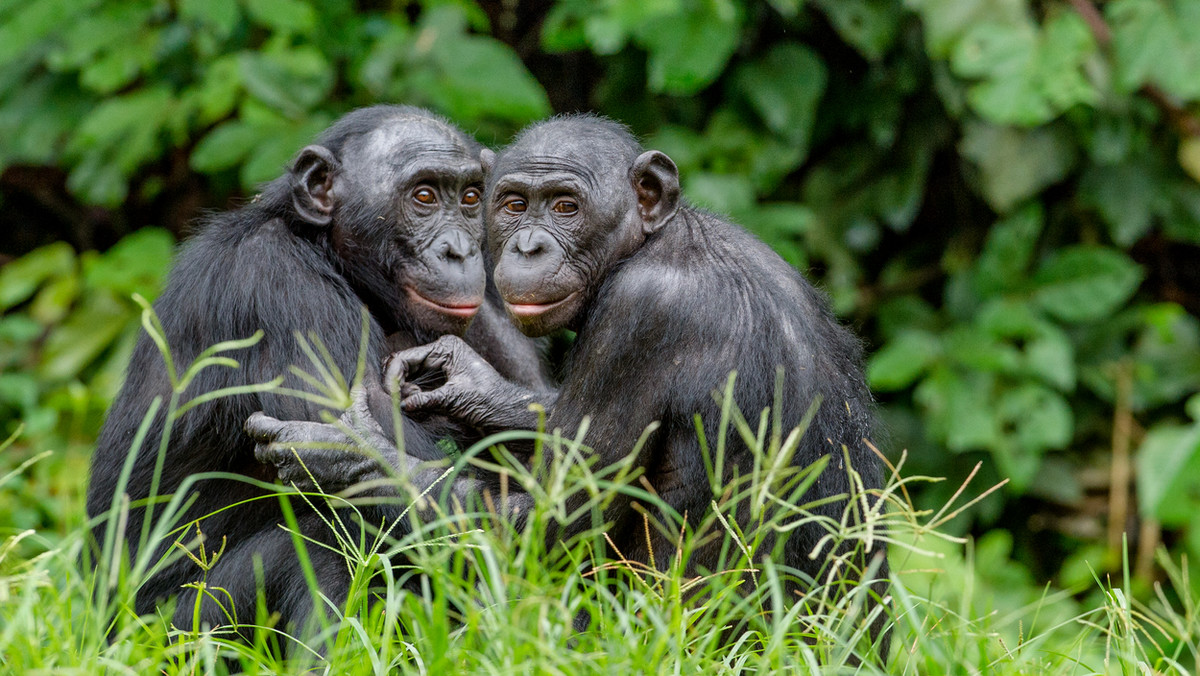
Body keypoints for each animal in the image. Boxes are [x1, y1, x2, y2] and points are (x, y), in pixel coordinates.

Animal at [87, 103, 549, 643]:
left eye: (471, 198)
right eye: (425, 197)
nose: (459, 250)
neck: (328, 253)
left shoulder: (490, 317)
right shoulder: (282, 289)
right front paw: (351, 453)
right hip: (173, 636)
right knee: (317, 539)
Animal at [250, 113, 892, 653]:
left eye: (564, 206)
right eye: (513, 203)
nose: (529, 244)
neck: (652, 243)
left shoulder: (640, 319)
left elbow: (539, 532)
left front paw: (345, 448)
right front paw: (468, 382)